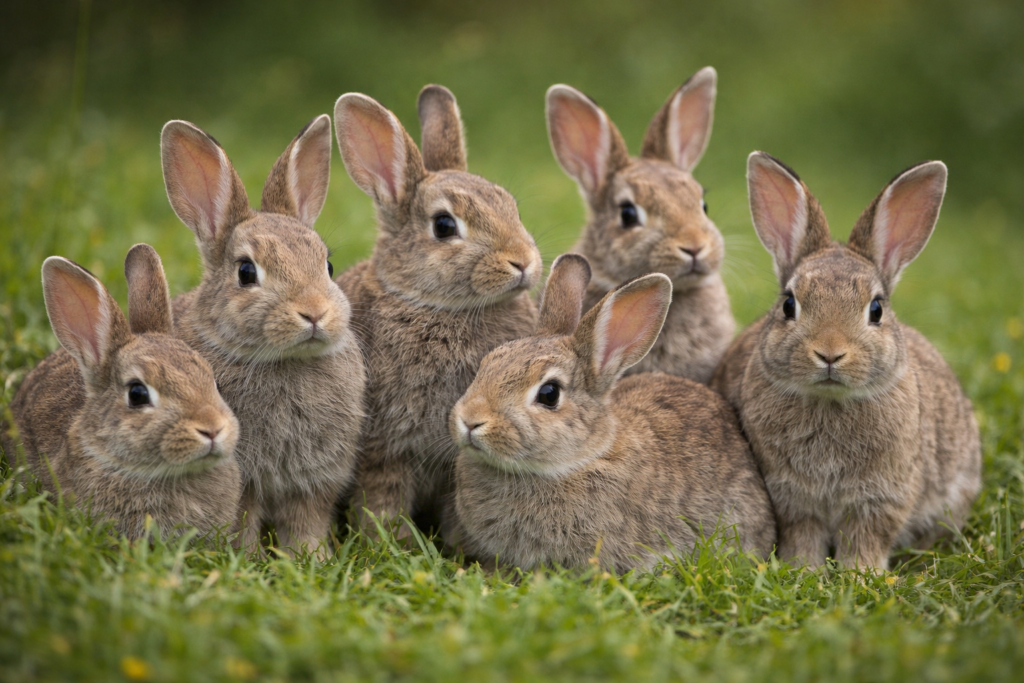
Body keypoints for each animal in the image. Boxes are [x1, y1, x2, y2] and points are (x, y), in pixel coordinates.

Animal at [161, 115, 366, 557]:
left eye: (328, 266)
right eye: (245, 272)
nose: (314, 312)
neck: (285, 362)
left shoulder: (315, 479)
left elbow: (306, 521)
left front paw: (313, 558)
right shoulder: (242, 480)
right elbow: (243, 520)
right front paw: (250, 560)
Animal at [332, 85, 542, 536]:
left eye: (511, 206)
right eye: (444, 226)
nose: (523, 262)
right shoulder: (385, 446)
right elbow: (383, 498)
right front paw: (388, 540)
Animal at [711, 153, 981, 571]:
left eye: (876, 309)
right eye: (788, 304)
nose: (830, 353)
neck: (830, 402)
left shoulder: (880, 499)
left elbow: (865, 539)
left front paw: (861, 575)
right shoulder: (793, 499)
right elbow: (804, 536)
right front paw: (803, 571)